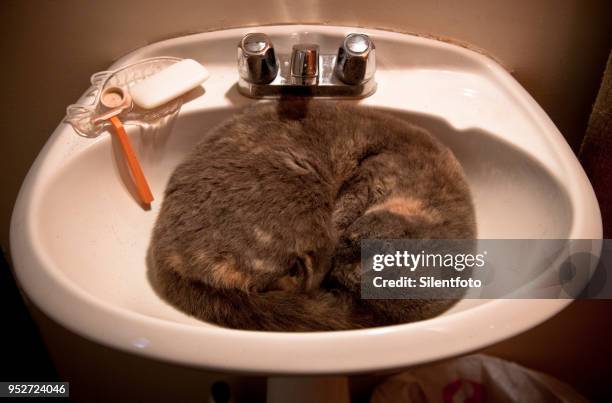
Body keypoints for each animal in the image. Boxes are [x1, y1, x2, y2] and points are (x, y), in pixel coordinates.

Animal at [149, 100, 478, 332]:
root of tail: (164, 257)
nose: (340, 251)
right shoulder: (374, 172)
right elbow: (348, 203)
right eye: (358, 244)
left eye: (344, 284)